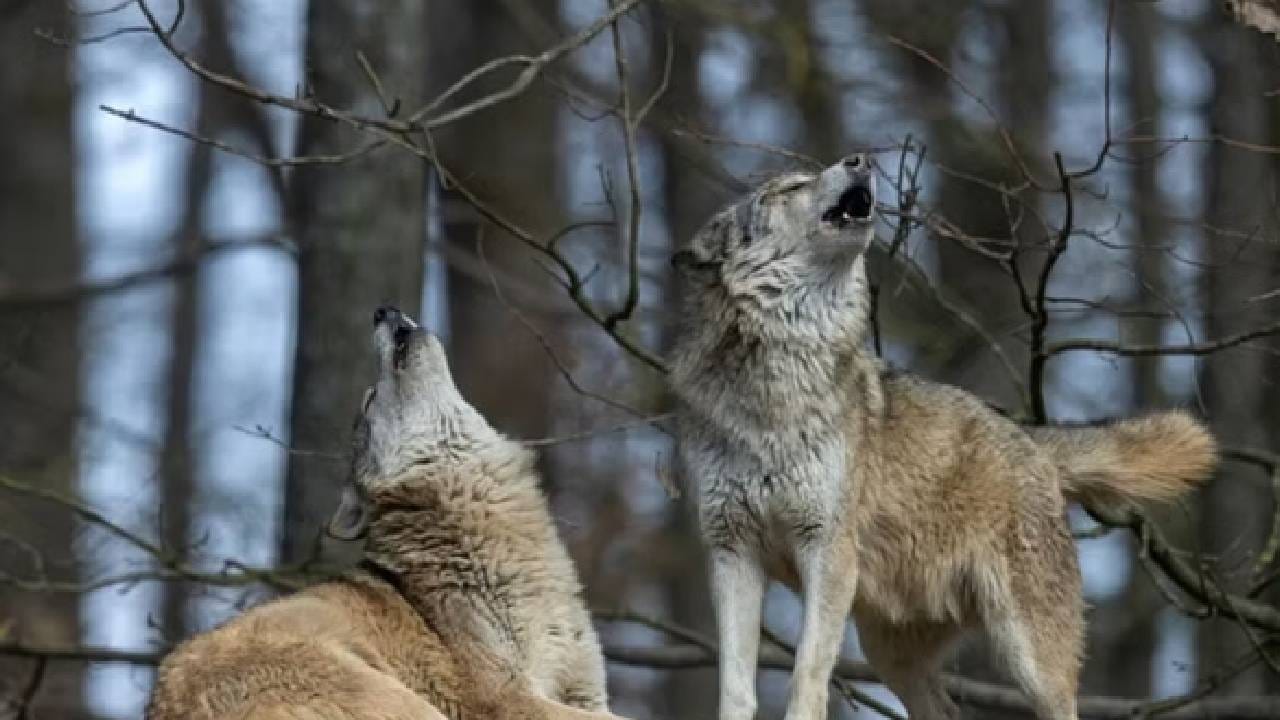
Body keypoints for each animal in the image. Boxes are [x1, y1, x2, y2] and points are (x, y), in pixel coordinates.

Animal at [668, 155, 1216, 720]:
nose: (860, 159)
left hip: (1032, 659)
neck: (773, 383)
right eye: (793, 186)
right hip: (890, 652)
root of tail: (1032, 441)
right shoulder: (731, 552)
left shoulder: (826, 548)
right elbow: (735, 686)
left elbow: (806, 675)